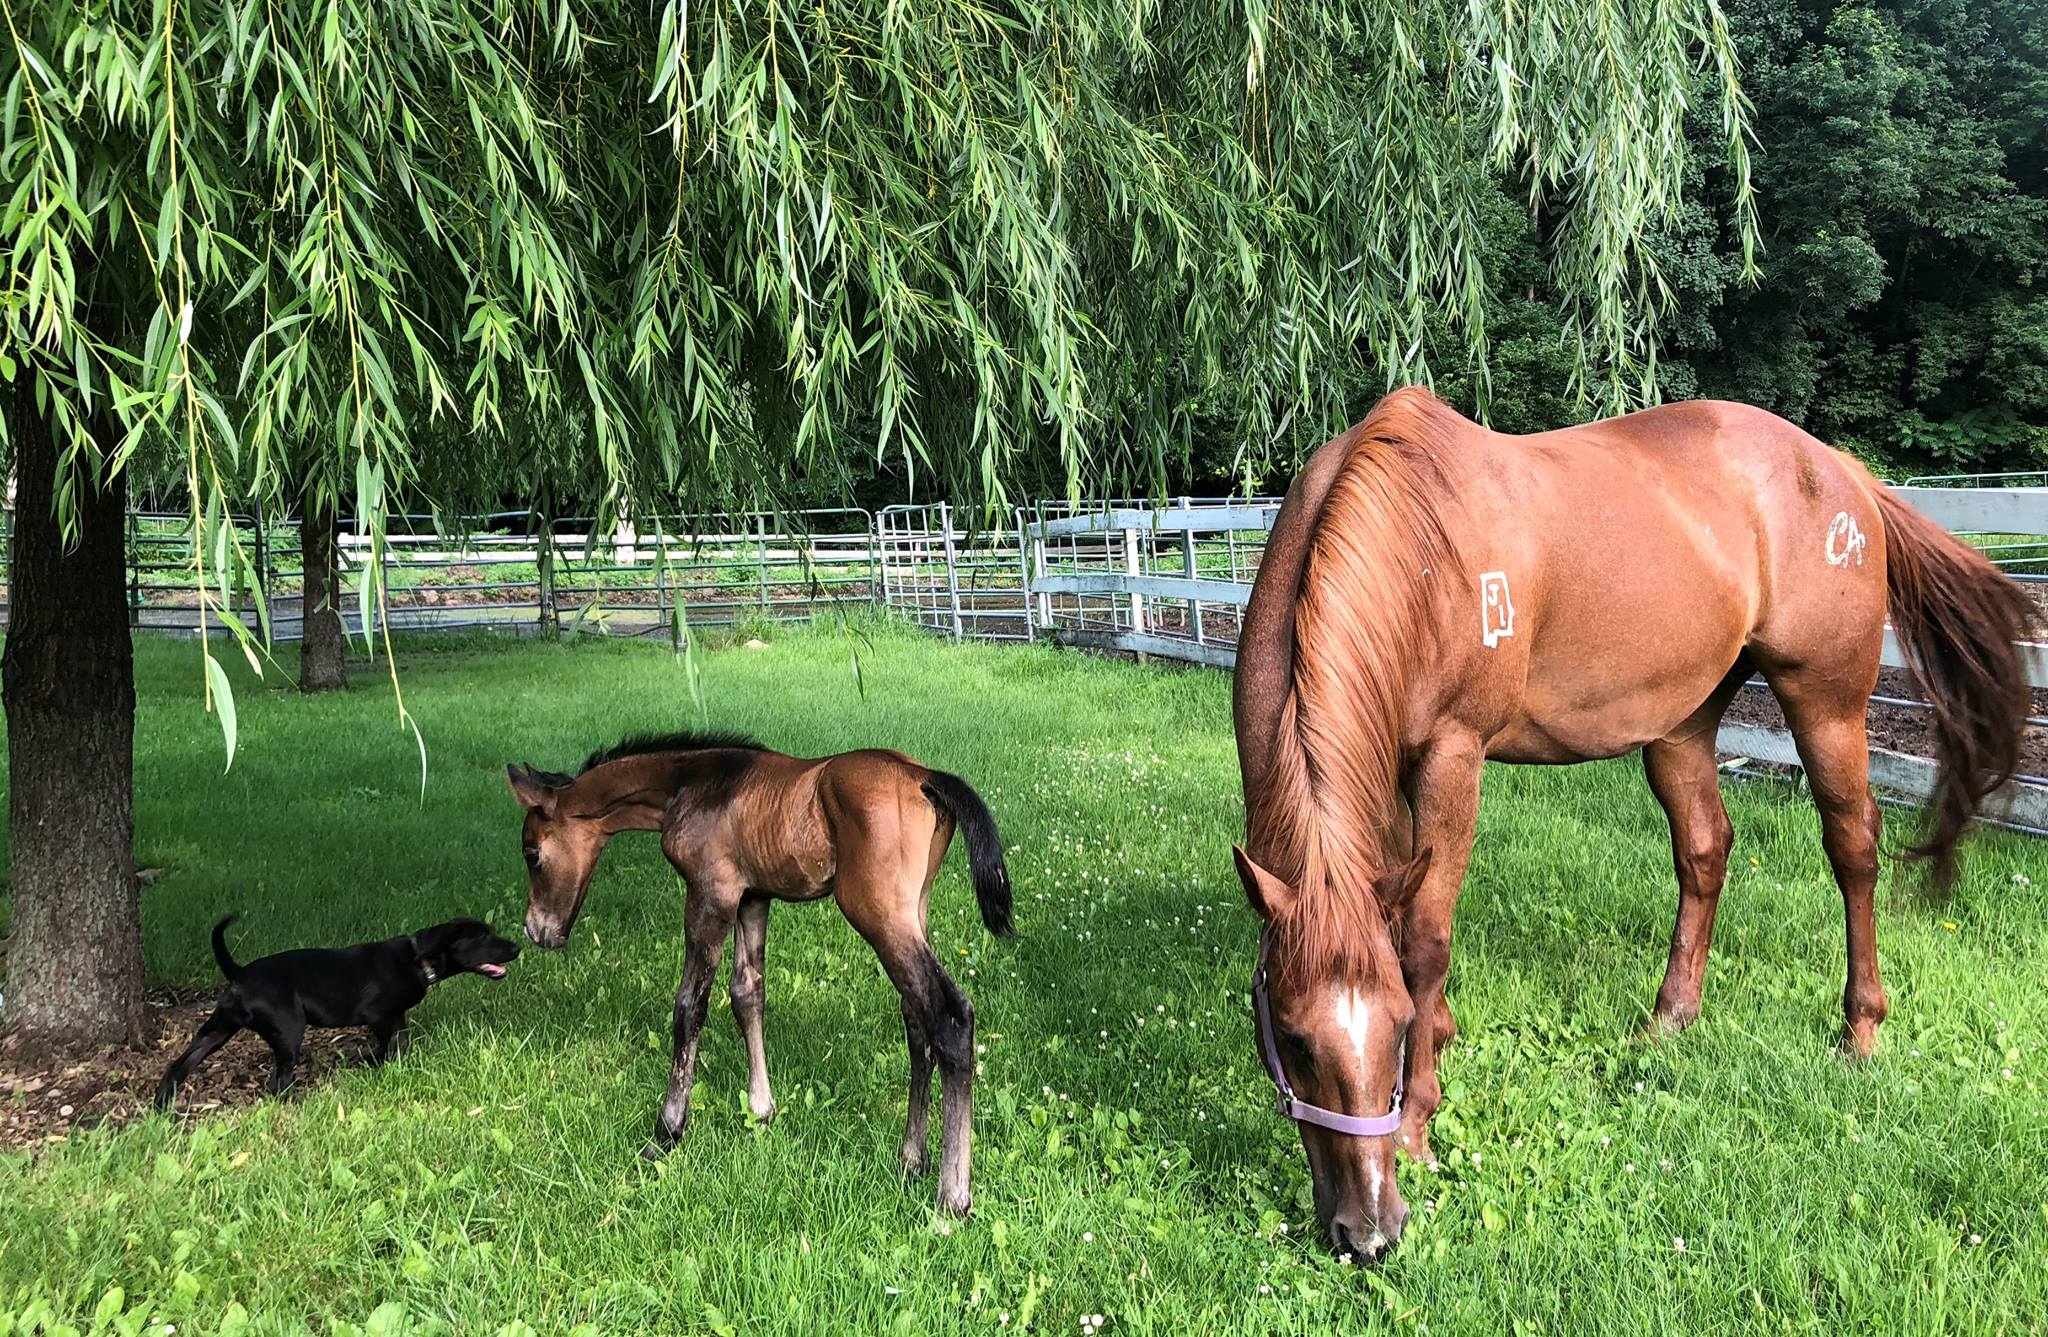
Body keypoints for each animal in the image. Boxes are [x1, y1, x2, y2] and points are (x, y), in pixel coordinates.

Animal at [504, 730, 1014, 1215]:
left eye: (531, 853)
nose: (537, 932)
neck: (695, 784)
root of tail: (922, 776)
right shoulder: (752, 898)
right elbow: (747, 993)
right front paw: (762, 1110)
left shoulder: (711, 896)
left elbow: (690, 1007)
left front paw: (667, 1132)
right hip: (912, 913)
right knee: (916, 1017)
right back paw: (911, 1159)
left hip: (878, 914)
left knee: (949, 1015)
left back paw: (952, 1197)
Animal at [1232, 387, 2034, 1261]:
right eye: (1291, 1035)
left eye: (1395, 1021)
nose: (1370, 1230)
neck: (1416, 551)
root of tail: (1845, 473)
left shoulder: (1453, 754)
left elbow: (1425, 938)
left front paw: (1417, 1119)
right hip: (1683, 724)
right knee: (1705, 850)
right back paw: (1670, 1019)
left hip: (1825, 704)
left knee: (1853, 848)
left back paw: (1859, 1029)